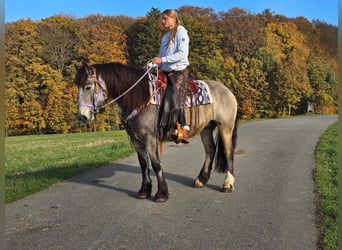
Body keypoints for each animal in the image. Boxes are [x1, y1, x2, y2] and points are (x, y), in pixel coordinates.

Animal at [74, 61, 238, 202]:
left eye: (88, 87)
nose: (82, 116)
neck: (139, 99)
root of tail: (227, 91)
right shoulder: (136, 140)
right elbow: (143, 165)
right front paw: (144, 190)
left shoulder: (150, 138)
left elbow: (156, 164)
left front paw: (162, 193)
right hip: (206, 128)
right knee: (210, 150)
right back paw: (201, 180)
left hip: (225, 127)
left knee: (228, 151)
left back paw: (228, 184)